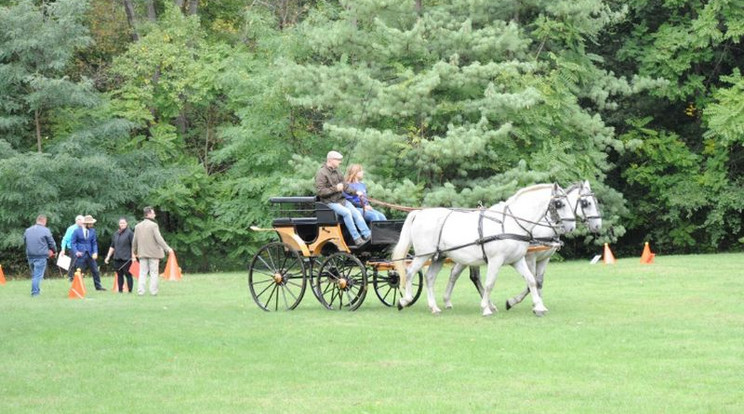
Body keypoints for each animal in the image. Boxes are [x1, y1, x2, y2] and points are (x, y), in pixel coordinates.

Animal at [392, 183, 580, 316]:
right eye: (560, 203)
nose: (571, 227)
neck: (510, 223)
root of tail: (419, 213)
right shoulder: (495, 260)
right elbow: (490, 283)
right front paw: (486, 308)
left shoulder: (517, 260)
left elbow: (531, 281)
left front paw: (538, 307)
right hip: (423, 255)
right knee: (410, 273)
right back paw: (405, 300)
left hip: (439, 256)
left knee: (430, 278)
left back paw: (434, 307)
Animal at [444, 180, 600, 310]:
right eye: (586, 203)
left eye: (595, 201)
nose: (598, 225)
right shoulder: (530, 257)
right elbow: (532, 280)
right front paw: (513, 302)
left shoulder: (544, 258)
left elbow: (538, 281)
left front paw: (539, 303)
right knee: (468, 276)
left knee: (457, 274)